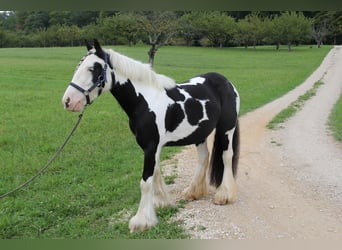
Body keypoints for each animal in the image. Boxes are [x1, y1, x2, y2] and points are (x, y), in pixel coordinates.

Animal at [62, 39, 240, 232]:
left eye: (92, 68)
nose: (68, 101)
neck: (145, 101)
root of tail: (226, 82)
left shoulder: (151, 146)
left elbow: (145, 182)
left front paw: (142, 221)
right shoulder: (150, 146)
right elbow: (155, 173)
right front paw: (161, 203)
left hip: (227, 129)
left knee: (226, 156)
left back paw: (224, 196)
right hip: (199, 134)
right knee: (203, 158)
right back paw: (193, 192)